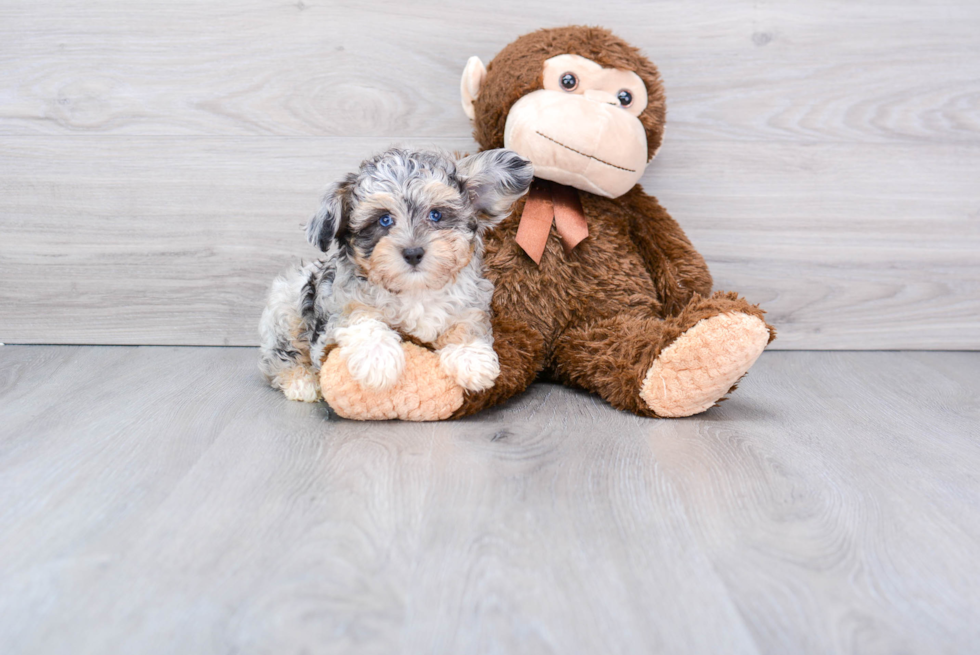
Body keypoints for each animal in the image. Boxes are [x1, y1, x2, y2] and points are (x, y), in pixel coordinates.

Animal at [260, 148, 532, 402]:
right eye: (384, 220)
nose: (413, 253)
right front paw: (377, 357)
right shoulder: (335, 311)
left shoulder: (471, 302)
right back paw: (302, 382)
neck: (415, 290)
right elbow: (359, 317)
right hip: (286, 309)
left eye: (436, 214)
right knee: (280, 357)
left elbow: (467, 324)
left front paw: (470, 357)